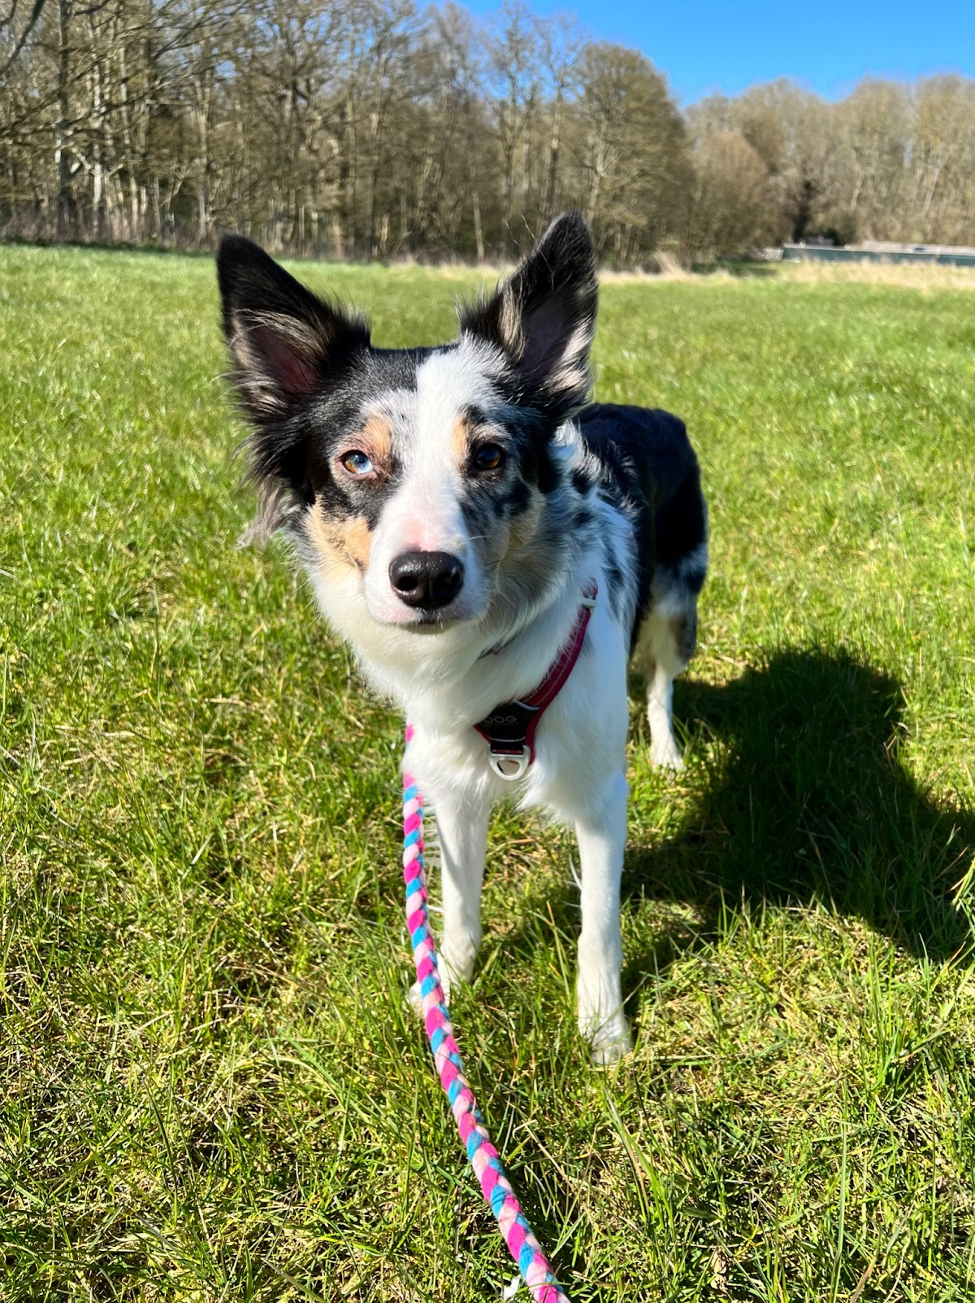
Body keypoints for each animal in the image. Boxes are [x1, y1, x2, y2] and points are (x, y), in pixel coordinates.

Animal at [217, 206, 704, 1058]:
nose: (423, 577)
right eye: (355, 461)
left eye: (488, 455)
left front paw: (603, 1030)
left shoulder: (599, 793)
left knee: (660, 684)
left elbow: (598, 924)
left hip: (677, 606)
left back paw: (669, 748)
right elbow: (459, 901)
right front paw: (445, 987)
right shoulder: (446, 782)